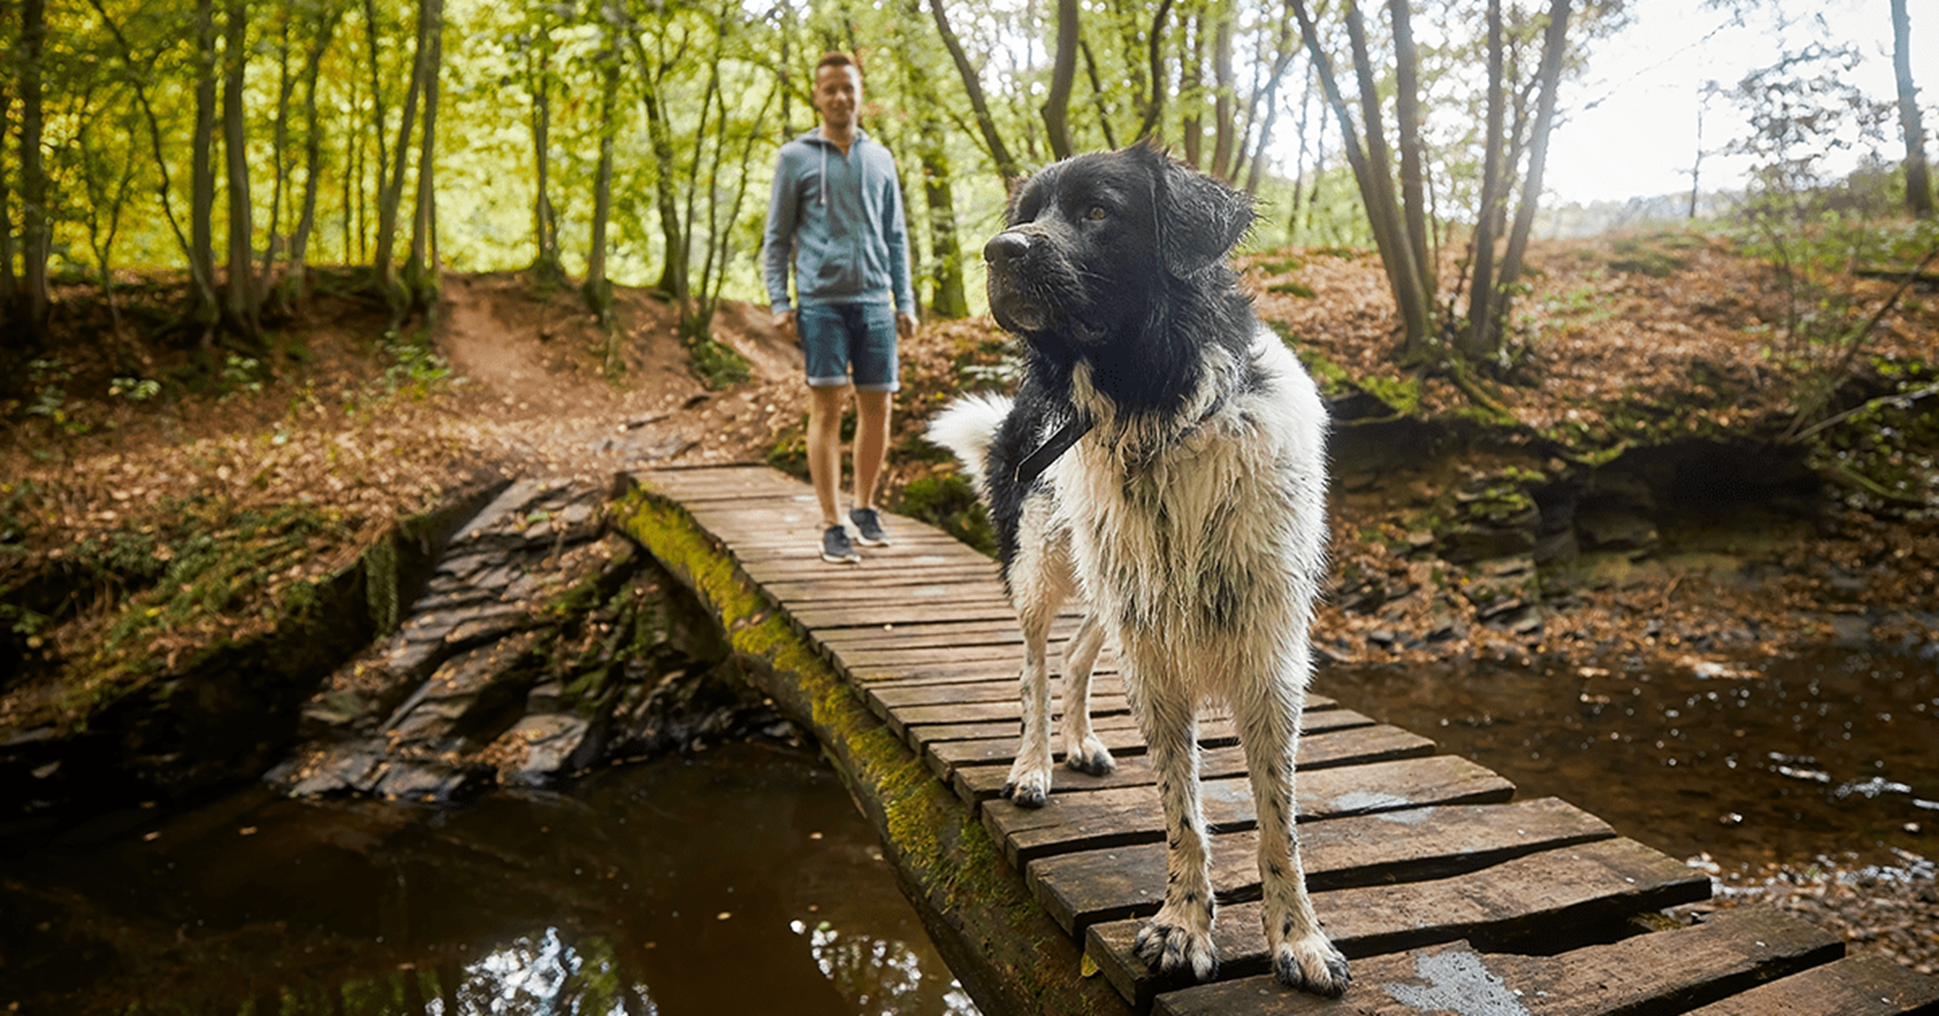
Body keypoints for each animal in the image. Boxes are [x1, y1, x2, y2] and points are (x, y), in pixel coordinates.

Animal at [922, 144, 1349, 1000]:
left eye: (1098, 212)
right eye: (1027, 214)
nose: (998, 250)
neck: (1158, 409)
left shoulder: (1265, 655)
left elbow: (1277, 819)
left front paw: (1298, 938)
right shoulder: (1155, 654)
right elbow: (1181, 809)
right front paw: (1183, 926)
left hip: (1112, 584)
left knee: (1077, 656)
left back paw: (1081, 741)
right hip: (1047, 564)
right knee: (1032, 666)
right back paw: (1033, 765)